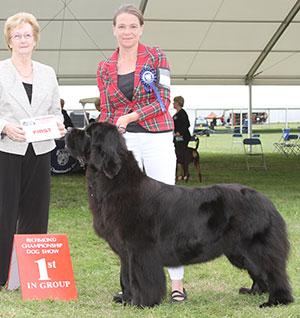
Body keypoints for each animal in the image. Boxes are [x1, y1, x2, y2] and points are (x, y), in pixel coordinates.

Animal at [65, 121, 292, 308]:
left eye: (88, 133)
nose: (67, 130)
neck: (112, 182)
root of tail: (266, 200)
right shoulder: (125, 251)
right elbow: (125, 277)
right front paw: (125, 299)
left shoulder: (139, 249)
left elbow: (139, 278)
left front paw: (142, 303)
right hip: (238, 250)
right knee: (259, 272)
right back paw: (254, 291)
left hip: (255, 246)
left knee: (274, 271)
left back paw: (276, 300)